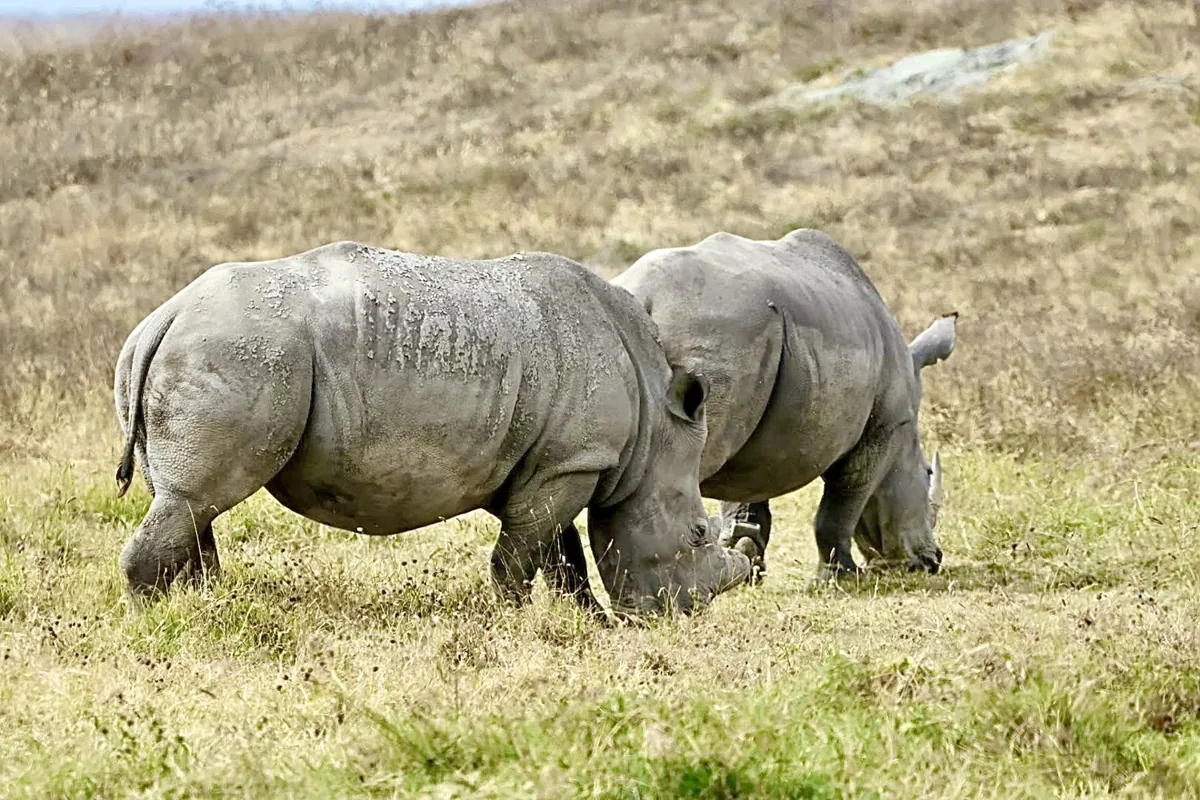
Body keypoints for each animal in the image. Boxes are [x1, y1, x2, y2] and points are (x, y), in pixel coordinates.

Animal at [112, 241, 750, 617]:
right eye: (698, 533)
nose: (687, 615)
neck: (653, 430)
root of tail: (164, 316)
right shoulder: (574, 461)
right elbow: (524, 555)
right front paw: (511, 620)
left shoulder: (555, 462)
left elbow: (559, 552)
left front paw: (589, 624)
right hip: (242, 352)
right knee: (194, 500)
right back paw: (162, 624)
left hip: (209, 352)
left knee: (185, 505)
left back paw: (203, 608)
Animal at [587, 228, 956, 581]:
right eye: (927, 475)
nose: (932, 561)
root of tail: (646, 297)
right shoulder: (885, 427)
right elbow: (843, 502)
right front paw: (841, 577)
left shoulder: (750, 434)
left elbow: (744, 496)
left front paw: (749, 564)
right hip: (713, 332)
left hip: (716, 342)